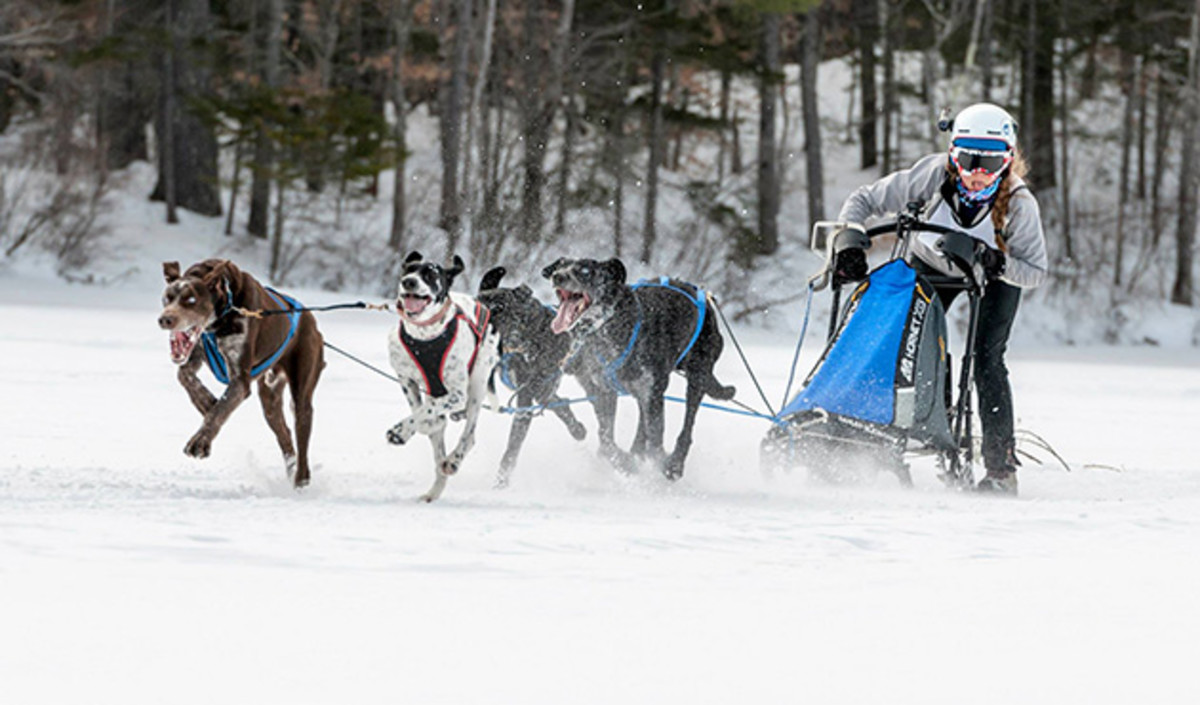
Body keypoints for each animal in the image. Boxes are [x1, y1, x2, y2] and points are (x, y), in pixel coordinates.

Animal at [162, 261, 328, 486]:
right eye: (167, 297)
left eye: (191, 300)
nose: (165, 319)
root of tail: (311, 320)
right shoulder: (195, 354)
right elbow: (184, 376)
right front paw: (206, 402)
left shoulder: (240, 380)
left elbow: (220, 410)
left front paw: (200, 441)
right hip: (270, 400)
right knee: (284, 434)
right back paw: (291, 470)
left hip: (302, 391)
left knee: (301, 434)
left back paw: (301, 478)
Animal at [384, 250, 496, 503]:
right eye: (409, 270)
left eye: (431, 274)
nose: (409, 282)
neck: (424, 335)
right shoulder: (406, 379)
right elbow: (421, 411)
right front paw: (427, 424)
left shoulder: (457, 394)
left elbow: (423, 412)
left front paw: (399, 432)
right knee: (438, 455)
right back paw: (434, 490)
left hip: (477, 384)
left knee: (469, 435)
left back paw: (453, 460)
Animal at [542, 256, 729, 481]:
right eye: (562, 266)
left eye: (585, 271)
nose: (557, 276)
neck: (610, 329)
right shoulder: (605, 392)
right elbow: (606, 439)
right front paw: (624, 462)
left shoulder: (652, 393)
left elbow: (655, 445)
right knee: (642, 424)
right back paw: (636, 452)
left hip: (696, 377)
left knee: (687, 426)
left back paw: (674, 463)